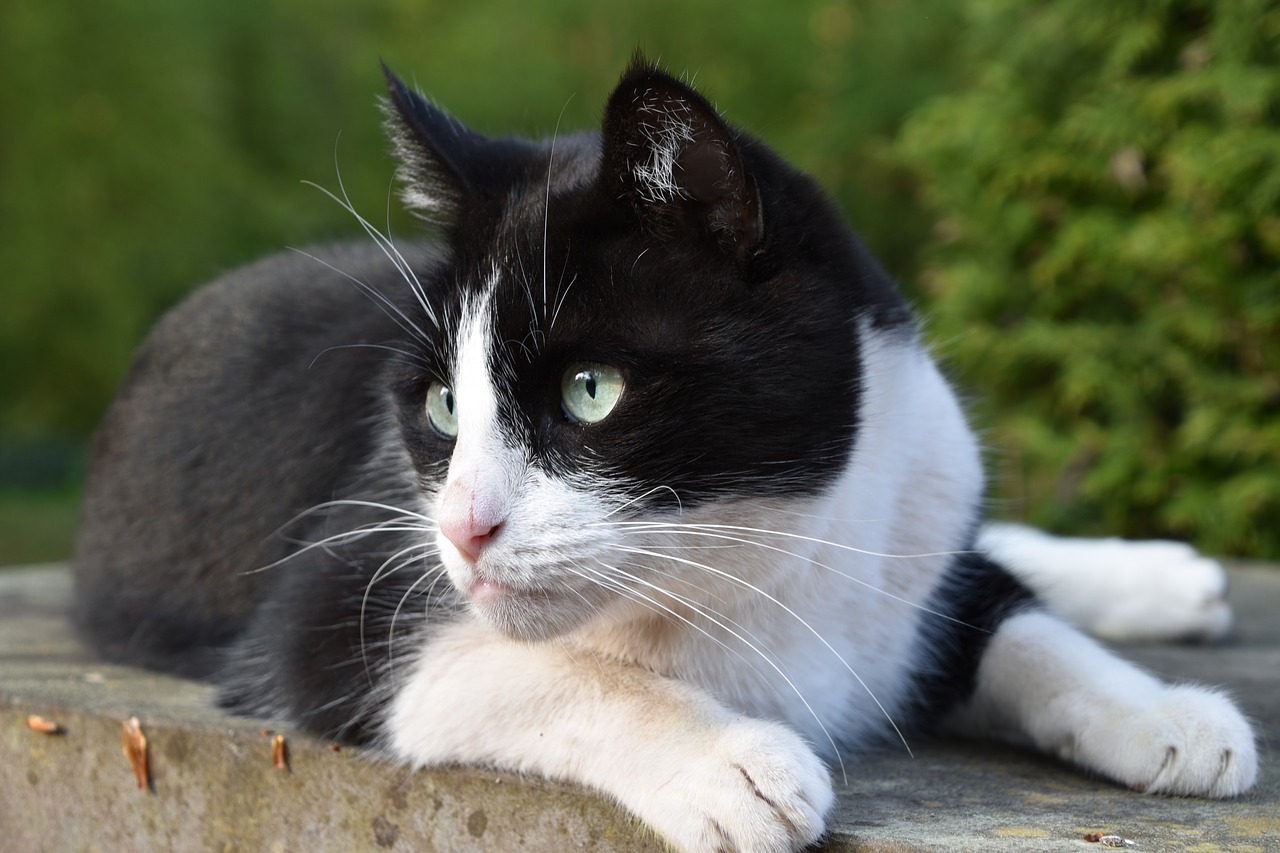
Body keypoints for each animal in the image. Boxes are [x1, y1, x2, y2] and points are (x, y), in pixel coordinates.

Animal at [72, 59, 1259, 850]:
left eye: (589, 391)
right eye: (444, 407)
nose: (461, 526)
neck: (760, 560)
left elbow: (1008, 624)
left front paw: (1162, 711)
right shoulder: (332, 602)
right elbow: (495, 663)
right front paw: (729, 758)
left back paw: (1163, 581)